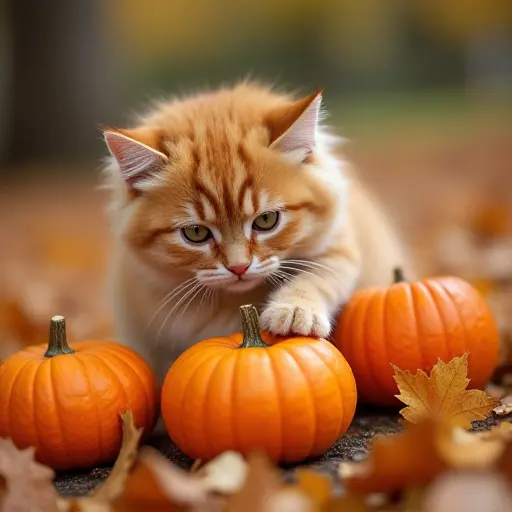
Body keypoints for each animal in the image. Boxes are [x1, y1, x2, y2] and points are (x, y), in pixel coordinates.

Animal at [103, 82, 412, 382]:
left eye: (266, 220)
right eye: (196, 233)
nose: (238, 267)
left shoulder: (339, 243)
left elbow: (320, 276)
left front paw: (293, 310)